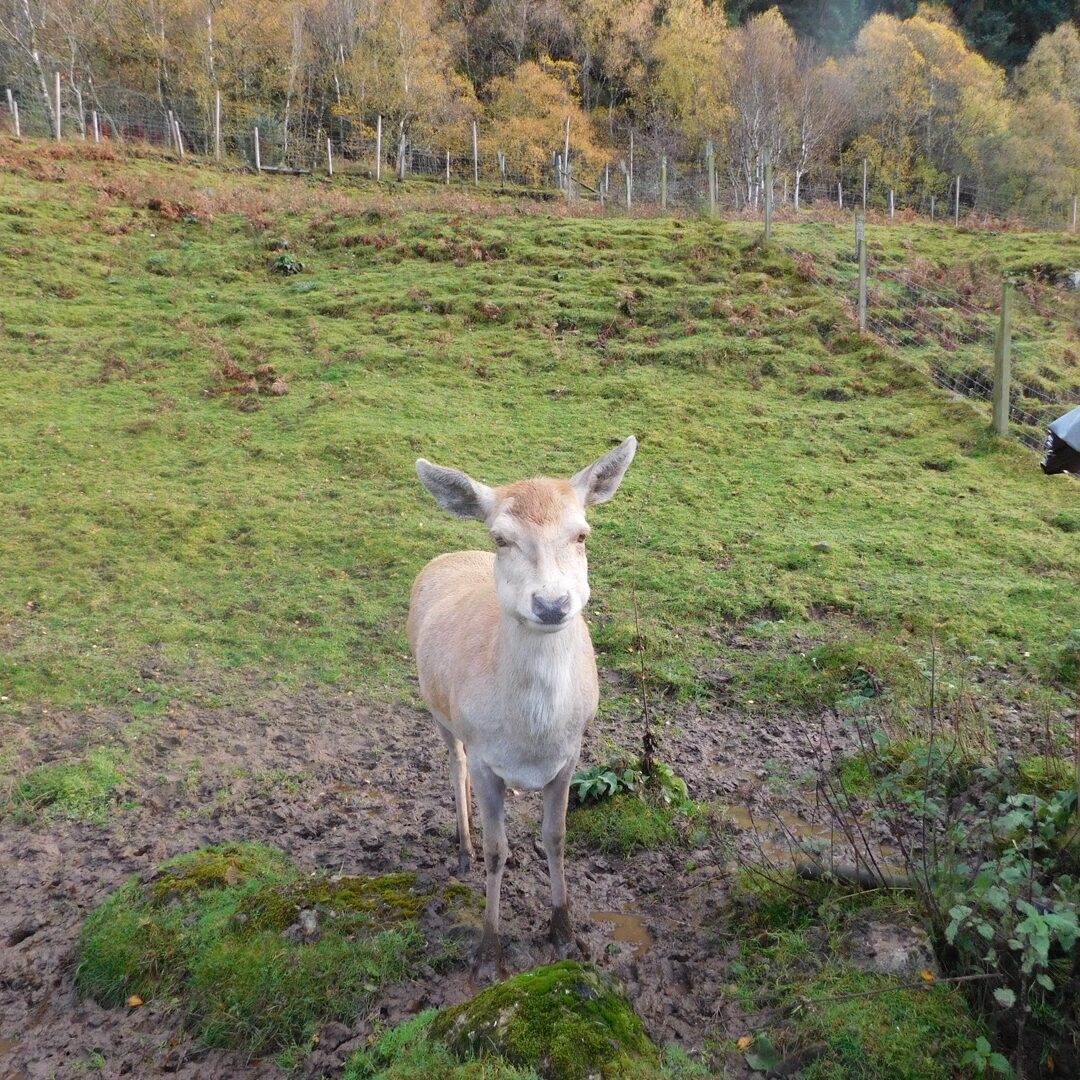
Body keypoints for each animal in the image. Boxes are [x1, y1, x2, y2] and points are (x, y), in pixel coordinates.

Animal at [407, 436, 637, 979]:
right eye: (502, 538)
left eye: (582, 534)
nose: (552, 604)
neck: (531, 737)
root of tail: (450, 554)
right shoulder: (486, 756)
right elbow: (498, 851)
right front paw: (488, 954)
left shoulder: (571, 755)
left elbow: (556, 837)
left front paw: (565, 935)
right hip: (437, 711)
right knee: (454, 764)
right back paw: (463, 848)